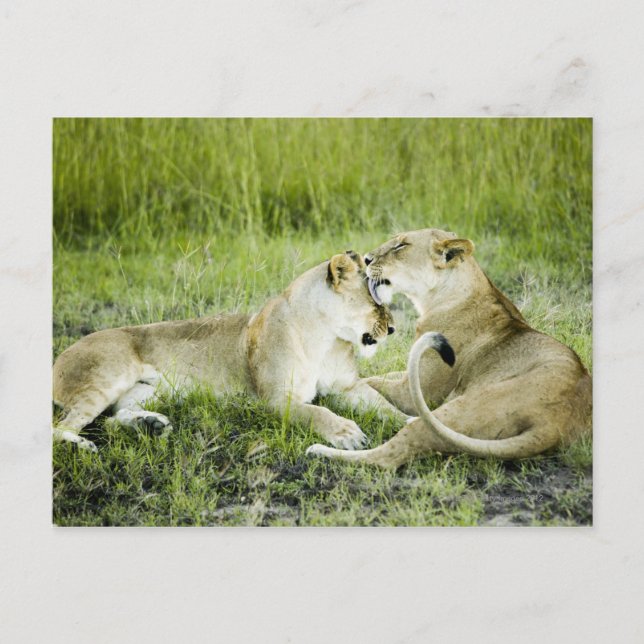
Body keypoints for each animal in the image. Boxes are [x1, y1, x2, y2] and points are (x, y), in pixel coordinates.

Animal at [53, 251, 406, 452]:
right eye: (376, 301)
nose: (392, 329)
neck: (326, 336)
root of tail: (59, 358)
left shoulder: (347, 386)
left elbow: (383, 404)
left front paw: (409, 421)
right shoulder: (276, 399)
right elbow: (315, 412)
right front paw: (346, 432)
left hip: (146, 392)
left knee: (112, 420)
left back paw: (150, 425)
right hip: (106, 377)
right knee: (63, 427)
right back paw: (83, 446)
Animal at [307, 229, 592, 467]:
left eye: (401, 245)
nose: (366, 259)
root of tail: (556, 423)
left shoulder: (414, 394)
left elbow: (370, 382)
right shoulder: (409, 376)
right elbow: (377, 377)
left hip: (457, 409)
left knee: (389, 456)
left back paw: (321, 452)